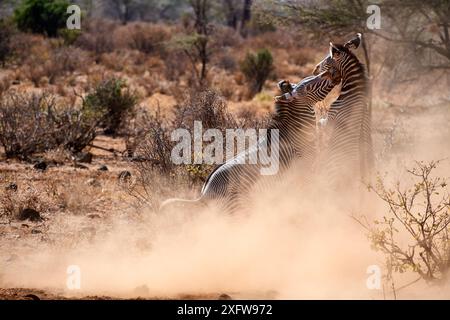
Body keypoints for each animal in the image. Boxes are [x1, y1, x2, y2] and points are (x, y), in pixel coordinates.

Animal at [160, 68, 340, 214]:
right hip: (235, 208)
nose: (331, 72)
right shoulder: (304, 169)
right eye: (309, 85)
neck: (295, 134)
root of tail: (205, 192)